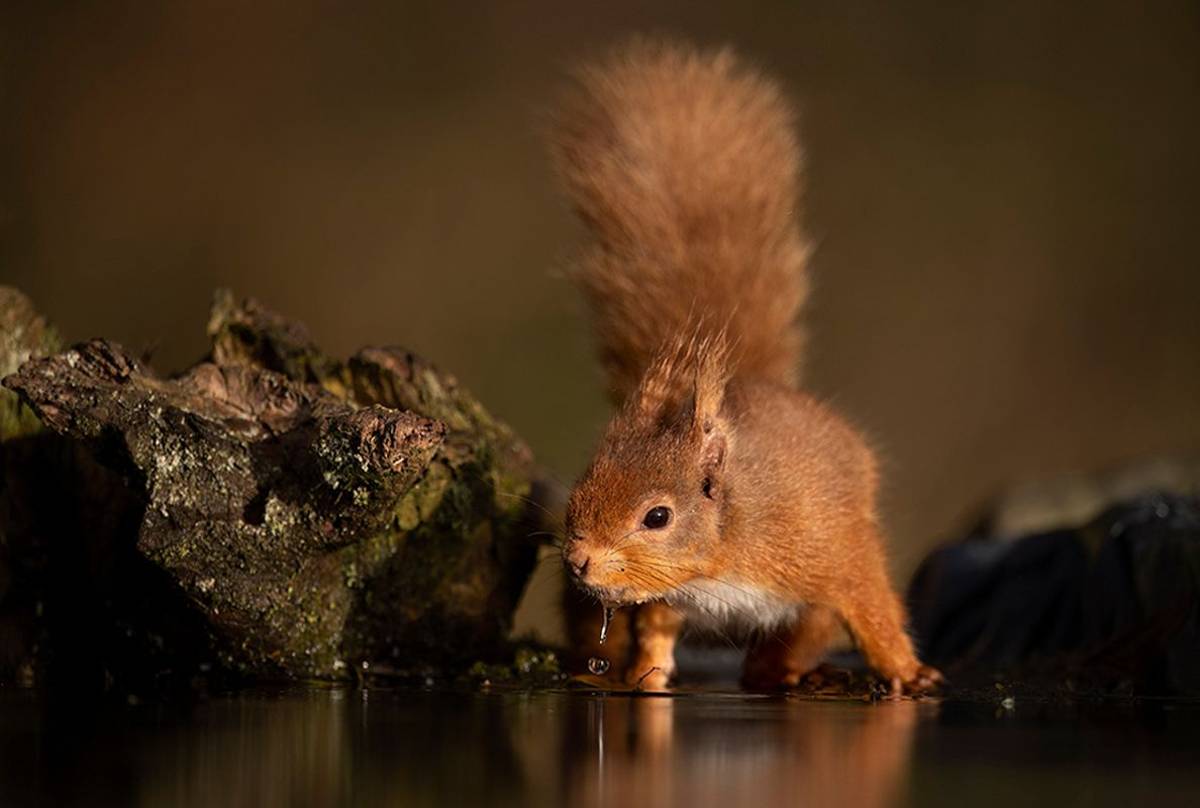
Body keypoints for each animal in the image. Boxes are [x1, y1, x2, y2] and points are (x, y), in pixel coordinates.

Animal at [550, 39, 942, 695]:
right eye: (581, 485)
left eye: (658, 516)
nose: (578, 561)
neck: (720, 554)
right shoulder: (666, 593)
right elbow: (655, 628)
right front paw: (645, 678)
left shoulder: (826, 545)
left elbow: (870, 603)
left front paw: (908, 673)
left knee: (804, 632)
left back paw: (782, 668)